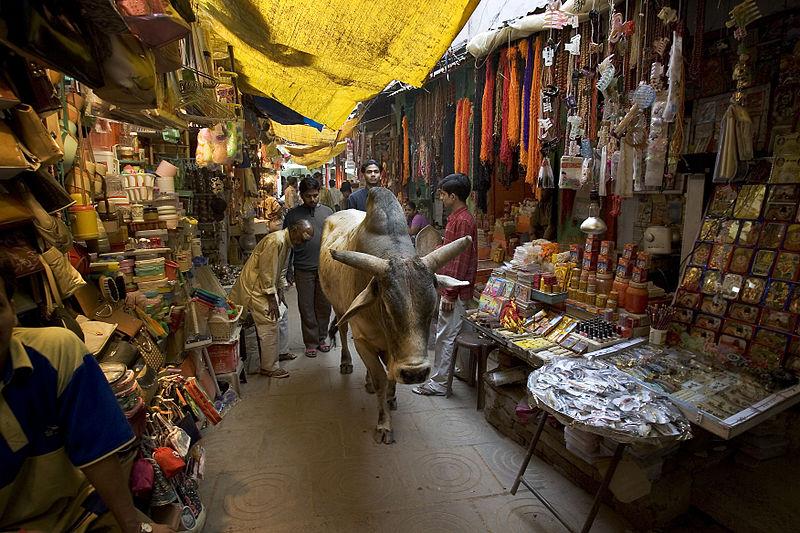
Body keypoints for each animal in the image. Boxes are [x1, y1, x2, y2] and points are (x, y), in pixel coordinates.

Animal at [318, 186, 468, 440]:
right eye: (387, 308)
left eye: (432, 307)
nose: (415, 373)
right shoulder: (363, 340)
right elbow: (380, 377)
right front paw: (384, 424)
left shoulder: (393, 353)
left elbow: (388, 375)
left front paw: (391, 397)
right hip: (338, 308)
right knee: (343, 330)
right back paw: (346, 363)